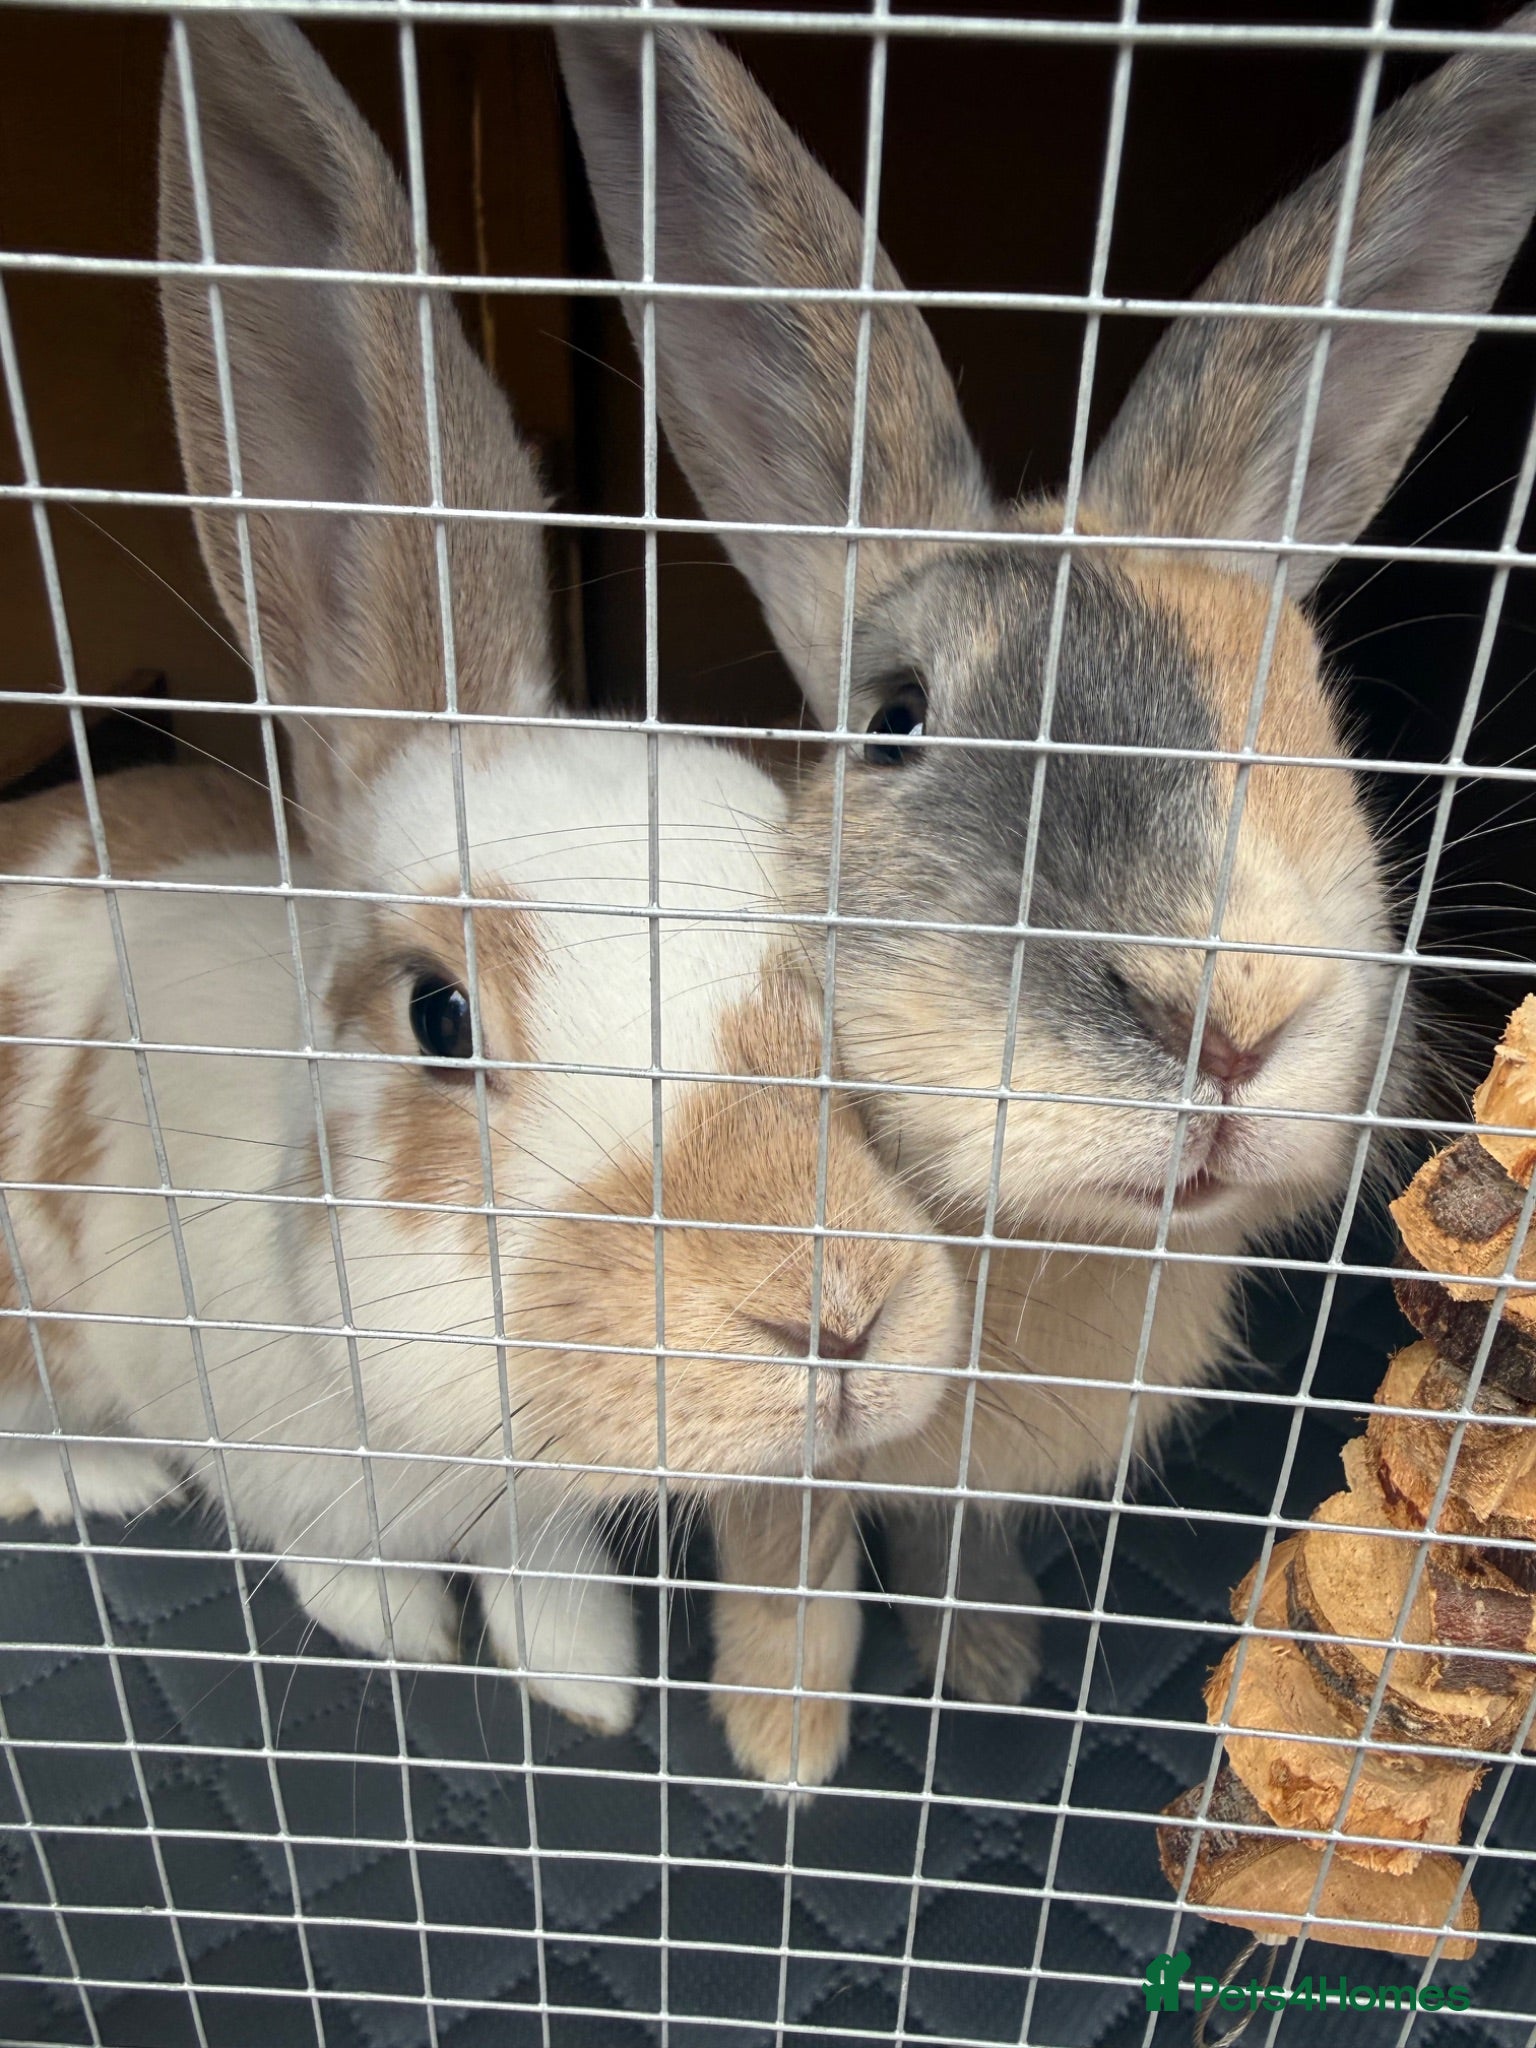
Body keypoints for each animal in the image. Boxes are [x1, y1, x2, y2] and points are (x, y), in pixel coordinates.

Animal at [0, 12, 965, 1791]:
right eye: (439, 1014)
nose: (839, 1321)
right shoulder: (269, 1442)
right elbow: (337, 1560)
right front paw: (411, 1633)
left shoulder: (528, 1507)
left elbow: (548, 1565)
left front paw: (585, 1682)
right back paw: (89, 1477)